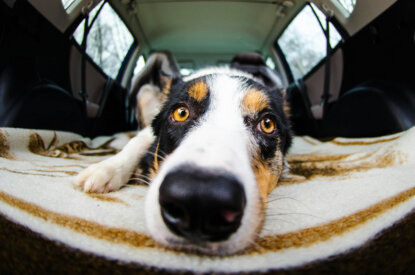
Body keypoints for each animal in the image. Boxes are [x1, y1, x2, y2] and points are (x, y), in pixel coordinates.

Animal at [75, 57, 292, 256]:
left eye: (267, 124)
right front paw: (106, 169)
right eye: (181, 112)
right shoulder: (148, 131)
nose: (201, 200)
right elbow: (136, 143)